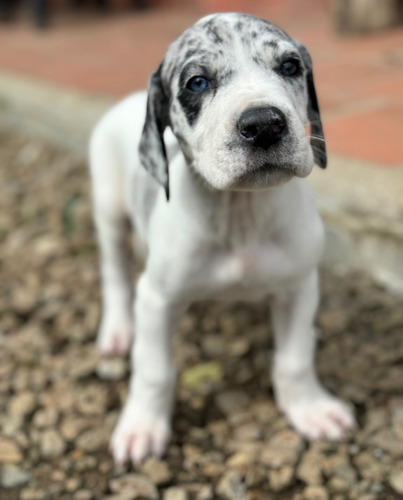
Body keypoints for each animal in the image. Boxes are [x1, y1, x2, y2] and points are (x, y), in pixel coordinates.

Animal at [90, 11, 356, 464]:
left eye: (290, 66)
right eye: (197, 82)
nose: (264, 124)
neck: (240, 216)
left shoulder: (298, 287)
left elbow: (295, 359)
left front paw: (310, 408)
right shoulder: (157, 300)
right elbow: (154, 370)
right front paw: (142, 426)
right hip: (108, 212)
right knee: (115, 272)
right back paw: (118, 329)